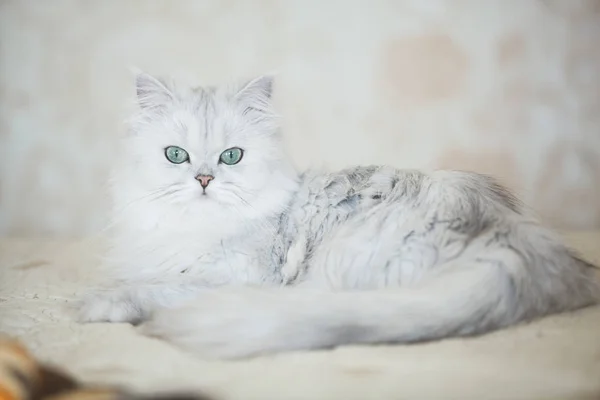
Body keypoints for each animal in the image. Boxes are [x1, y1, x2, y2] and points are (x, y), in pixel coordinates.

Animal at [77, 72, 596, 360]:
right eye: (176, 155)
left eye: (231, 157)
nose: (204, 179)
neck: (193, 228)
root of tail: (516, 246)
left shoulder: (234, 277)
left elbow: (147, 289)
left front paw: (96, 304)